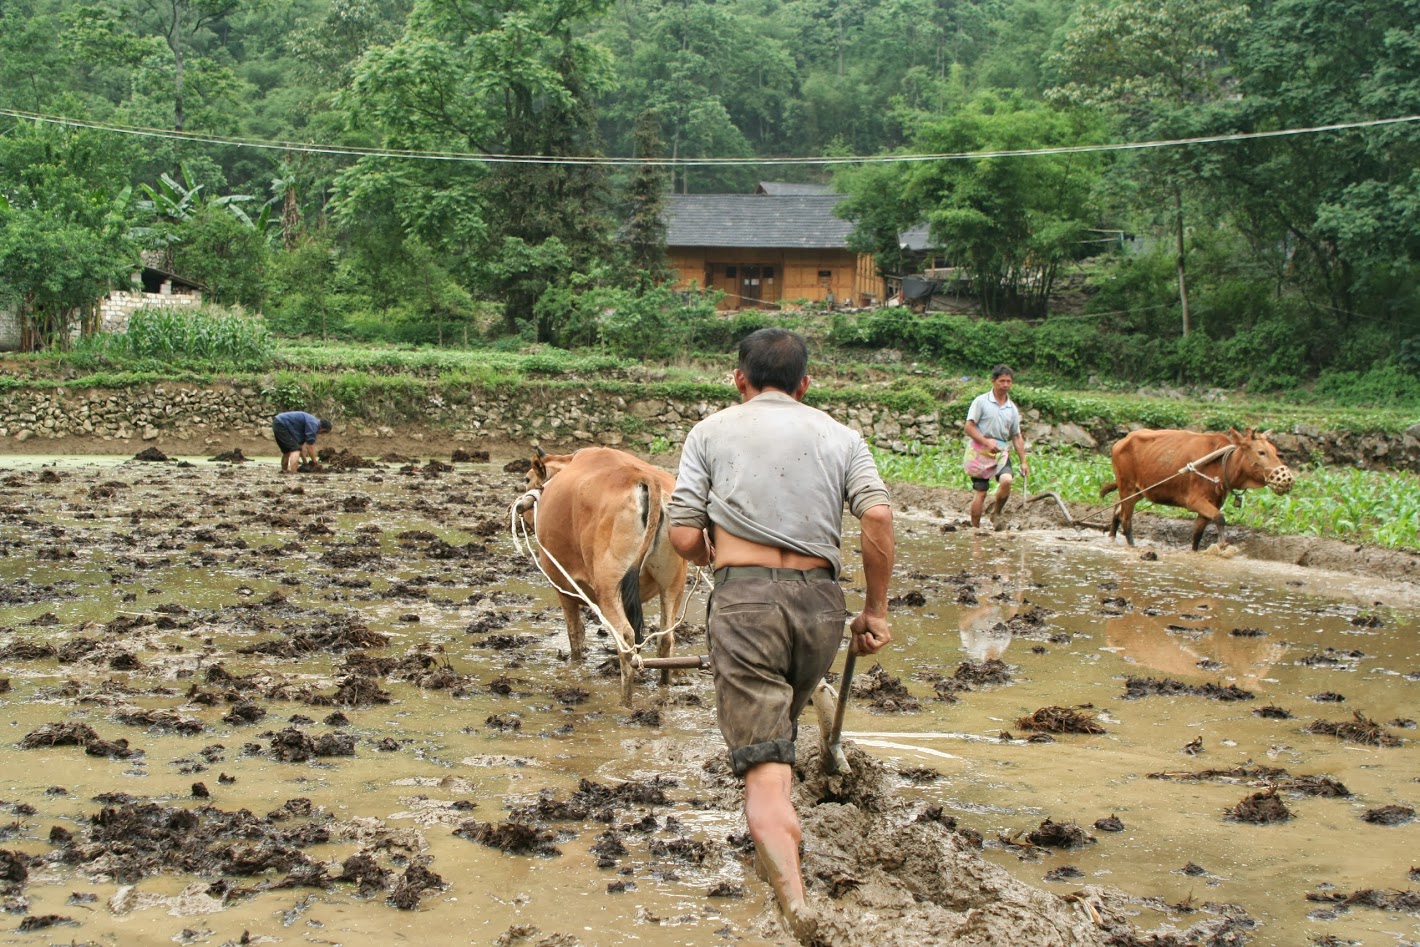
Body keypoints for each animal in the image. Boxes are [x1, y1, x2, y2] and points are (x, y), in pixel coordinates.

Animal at [511, 448, 698, 707]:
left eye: (527, 478)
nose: (518, 506)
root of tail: (645, 479)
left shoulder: (562, 586)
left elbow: (575, 635)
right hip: (673, 585)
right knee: (666, 639)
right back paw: (665, 688)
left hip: (608, 589)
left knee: (626, 641)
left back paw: (625, 702)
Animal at [1096, 428, 1300, 550]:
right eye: (1261, 452)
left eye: (1275, 452)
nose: (1287, 478)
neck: (1223, 463)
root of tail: (1122, 441)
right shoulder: (1195, 501)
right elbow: (1220, 518)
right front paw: (1222, 545)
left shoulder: (1209, 505)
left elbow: (1197, 534)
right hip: (1128, 487)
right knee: (1126, 520)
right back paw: (1132, 545)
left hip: (1140, 490)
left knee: (1117, 509)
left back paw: (1112, 537)